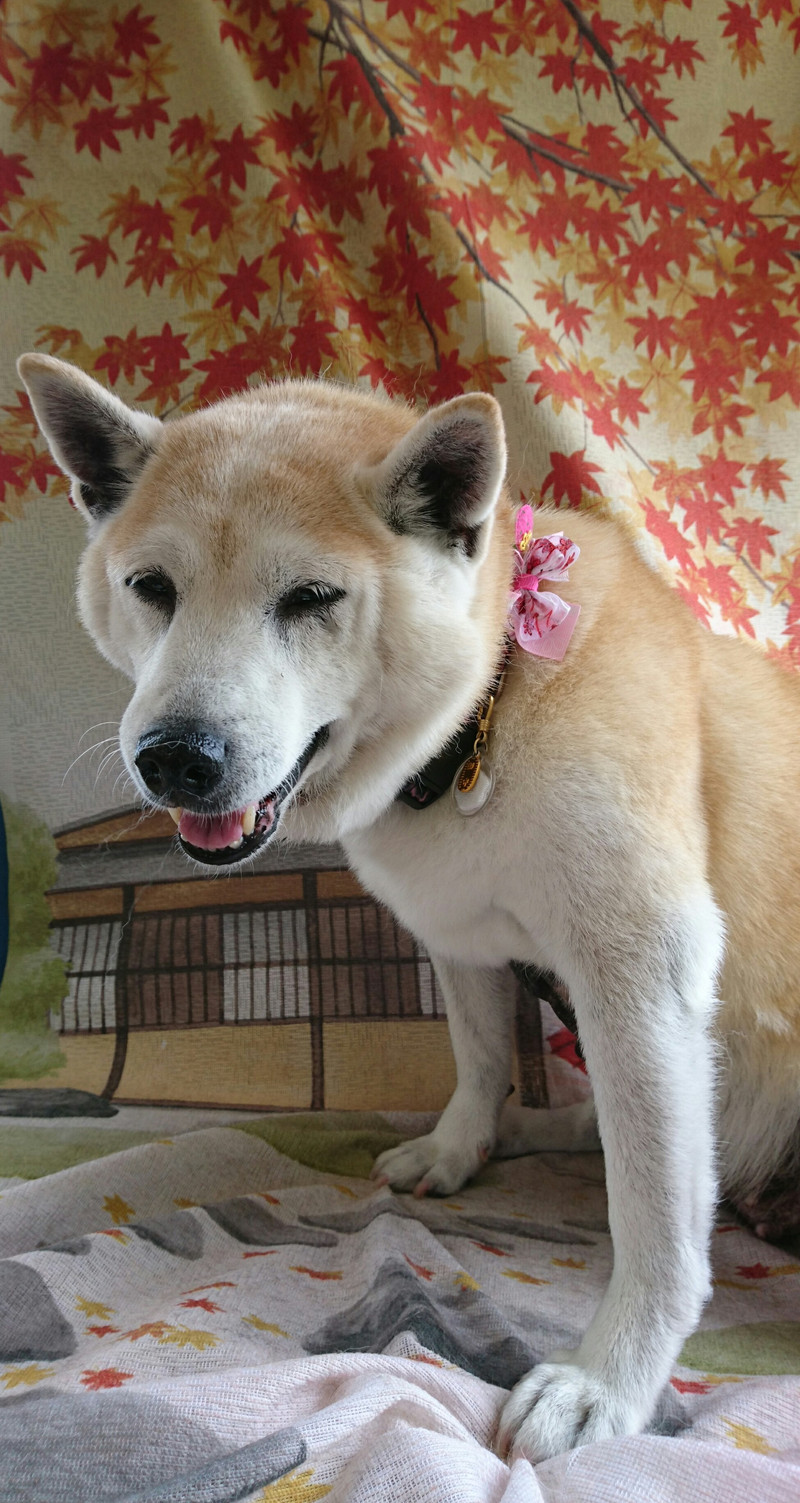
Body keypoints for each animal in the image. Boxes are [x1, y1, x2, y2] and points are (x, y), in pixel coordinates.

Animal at [18, 352, 800, 1462]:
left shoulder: (642, 975)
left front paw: (609, 1381)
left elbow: (653, 1215)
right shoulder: (459, 934)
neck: (491, 713)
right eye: (152, 589)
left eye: (310, 597)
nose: (174, 759)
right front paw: (463, 1143)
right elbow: (480, 1059)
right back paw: (545, 1125)